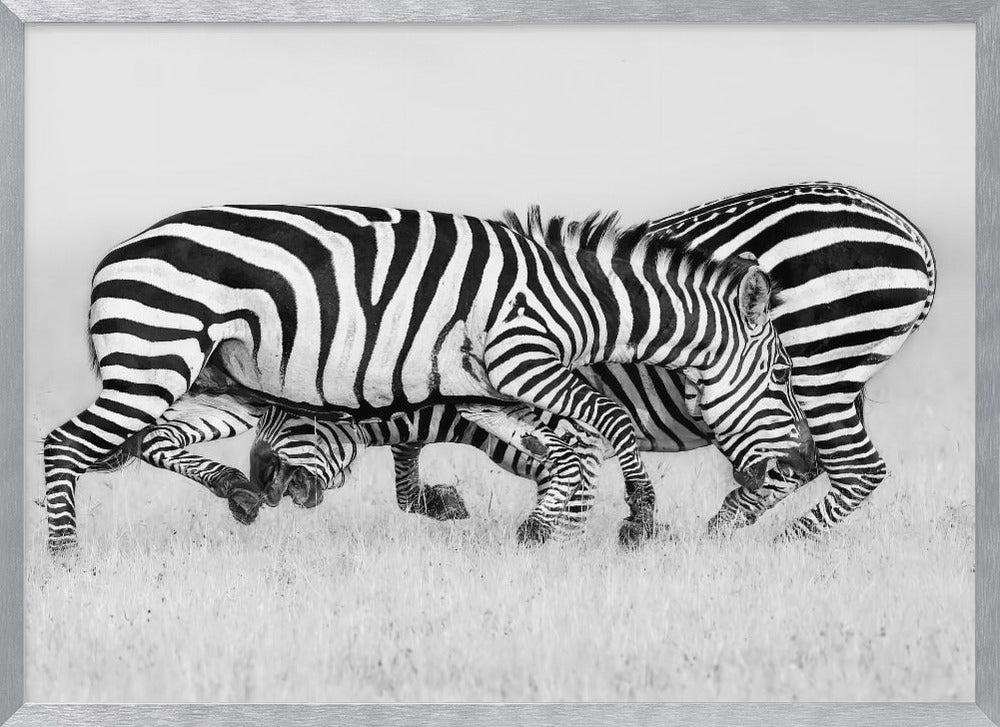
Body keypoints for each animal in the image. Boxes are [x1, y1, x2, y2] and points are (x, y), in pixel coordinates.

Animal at [43, 202, 814, 551]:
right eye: (782, 376)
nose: (806, 464)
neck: (583, 300)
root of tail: (116, 252)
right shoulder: (523, 355)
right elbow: (609, 423)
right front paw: (639, 517)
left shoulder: (487, 388)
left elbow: (559, 447)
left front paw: (548, 528)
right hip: (155, 359)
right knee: (63, 445)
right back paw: (65, 558)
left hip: (212, 377)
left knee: (154, 440)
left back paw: (237, 489)